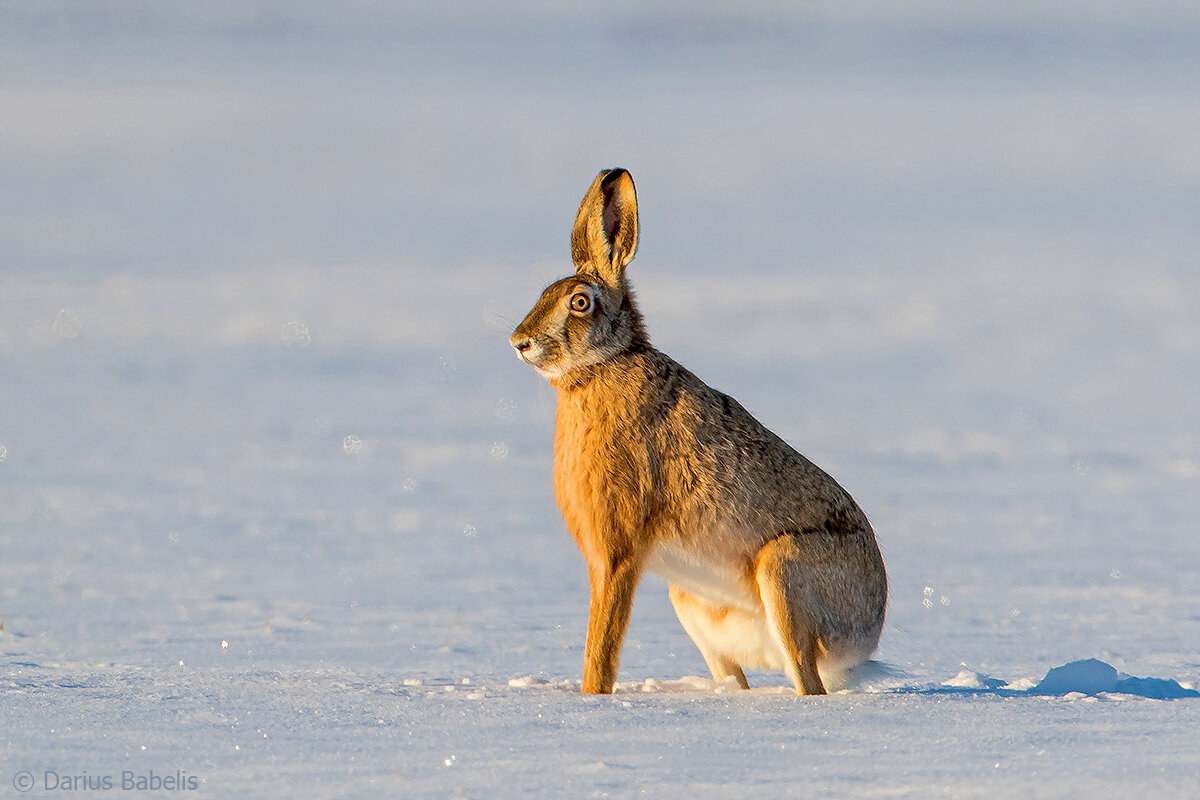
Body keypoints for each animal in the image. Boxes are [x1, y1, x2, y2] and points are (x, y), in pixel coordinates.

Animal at [510, 168, 887, 695]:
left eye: (579, 302)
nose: (519, 342)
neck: (606, 364)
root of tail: (867, 637)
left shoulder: (617, 552)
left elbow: (601, 651)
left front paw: (592, 698)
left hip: (784, 571)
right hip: (690, 603)